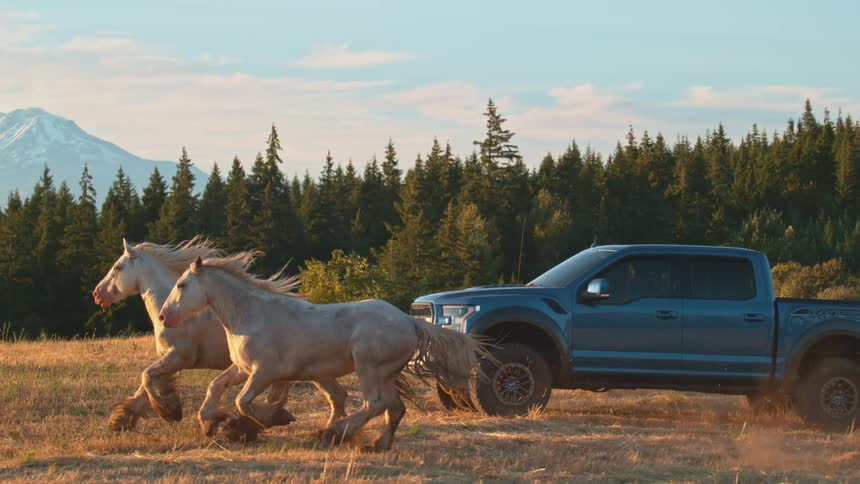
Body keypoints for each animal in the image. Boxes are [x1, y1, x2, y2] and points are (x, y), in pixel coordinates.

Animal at [92, 238, 347, 439]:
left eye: (117, 267)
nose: (97, 294)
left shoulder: (178, 357)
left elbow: (146, 378)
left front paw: (170, 411)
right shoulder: (169, 359)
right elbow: (144, 388)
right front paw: (121, 420)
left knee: (326, 396)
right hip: (313, 371)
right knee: (333, 396)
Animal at [158, 254, 492, 451]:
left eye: (182, 284)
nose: (163, 317)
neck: (251, 315)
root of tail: (410, 322)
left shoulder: (264, 372)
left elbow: (243, 402)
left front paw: (272, 418)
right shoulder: (243, 369)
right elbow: (216, 387)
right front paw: (208, 422)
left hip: (368, 369)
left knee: (374, 403)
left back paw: (334, 433)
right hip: (384, 374)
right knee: (394, 408)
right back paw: (376, 444)